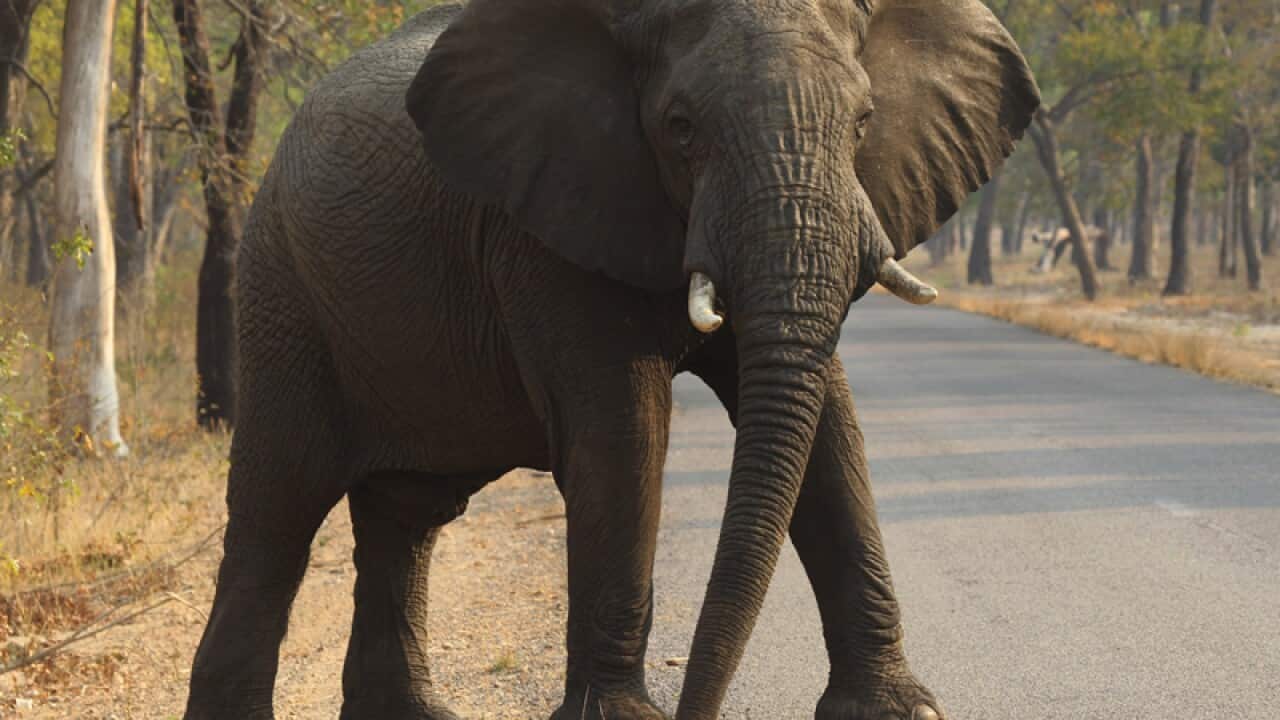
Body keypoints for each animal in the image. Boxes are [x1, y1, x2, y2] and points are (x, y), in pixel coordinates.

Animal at [182, 1, 1038, 719]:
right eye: (680, 126)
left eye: (863, 122)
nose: (699, 712)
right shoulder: (544, 224)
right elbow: (625, 433)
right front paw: (624, 717)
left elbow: (831, 430)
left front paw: (897, 711)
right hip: (282, 289)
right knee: (278, 508)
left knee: (406, 516)